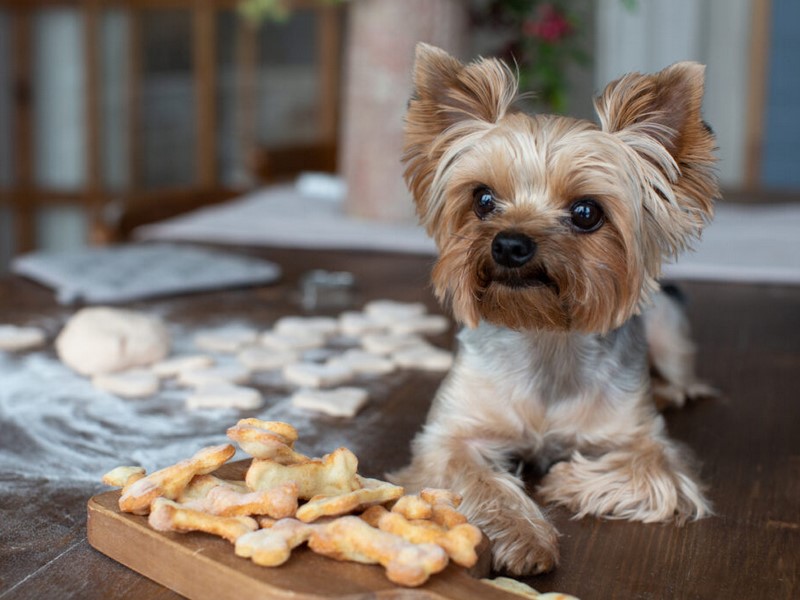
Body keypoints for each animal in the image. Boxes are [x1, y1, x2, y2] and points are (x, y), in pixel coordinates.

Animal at [394, 44, 720, 576]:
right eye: (483, 199)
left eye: (587, 212)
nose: (509, 244)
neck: (544, 333)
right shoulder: (448, 438)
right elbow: (475, 478)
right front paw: (524, 535)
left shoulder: (645, 440)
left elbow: (653, 472)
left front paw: (564, 479)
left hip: (669, 330)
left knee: (683, 378)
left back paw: (670, 390)